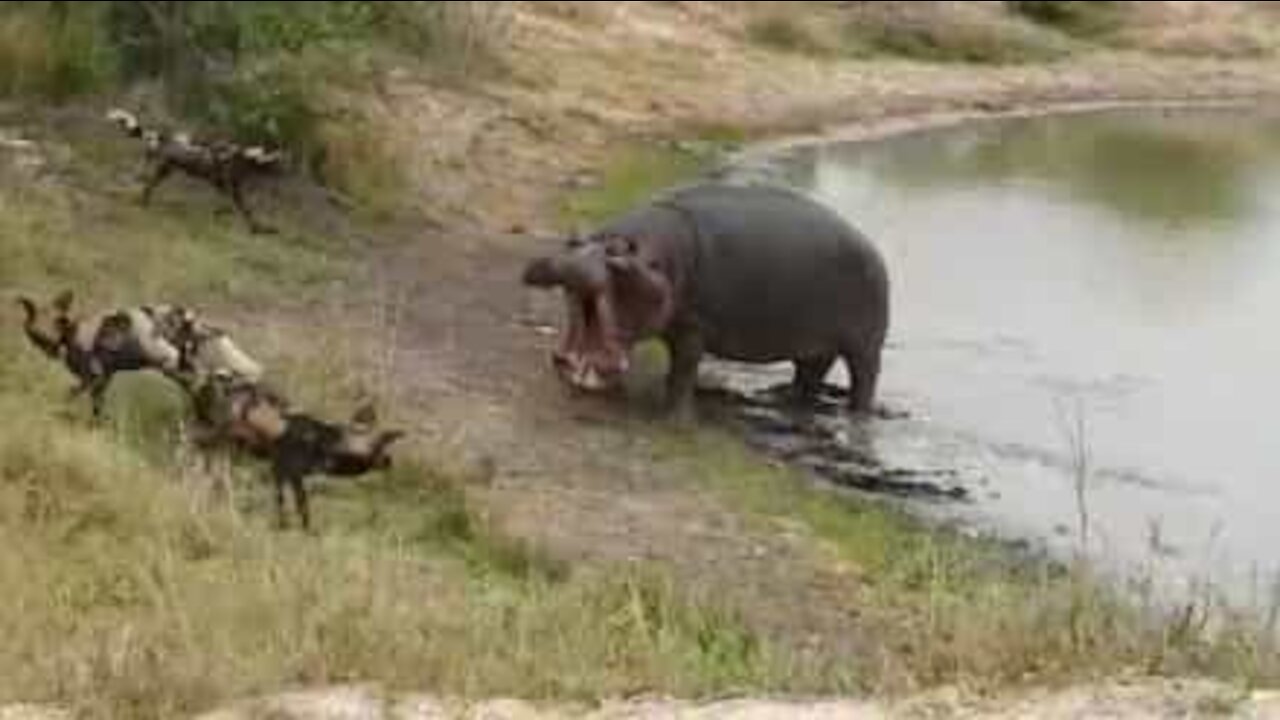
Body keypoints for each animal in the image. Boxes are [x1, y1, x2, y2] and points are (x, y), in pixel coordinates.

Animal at [106, 107, 285, 234]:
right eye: (276, 164)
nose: (283, 171)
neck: (243, 157)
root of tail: (164, 136)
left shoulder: (229, 189)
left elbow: (246, 212)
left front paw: (259, 229)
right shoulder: (229, 189)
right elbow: (238, 208)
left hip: (164, 168)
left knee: (145, 180)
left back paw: (140, 198)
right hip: (162, 168)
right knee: (147, 183)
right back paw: (141, 201)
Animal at [185, 371, 401, 530]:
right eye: (375, 448)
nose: (389, 461)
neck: (321, 441)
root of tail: (213, 376)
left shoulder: (285, 472)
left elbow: (292, 502)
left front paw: (292, 526)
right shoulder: (287, 470)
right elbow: (295, 503)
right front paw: (296, 528)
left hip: (219, 445)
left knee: (211, 475)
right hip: (213, 437)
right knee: (201, 465)